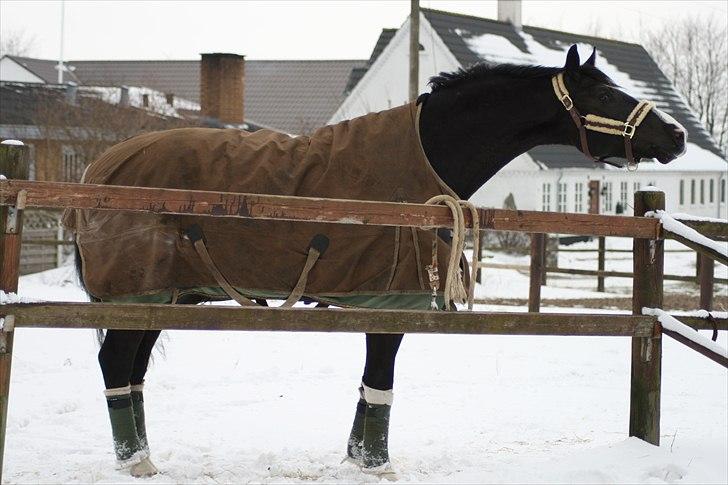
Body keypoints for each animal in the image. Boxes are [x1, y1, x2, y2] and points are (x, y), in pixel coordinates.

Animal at [82, 46, 684, 476]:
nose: (676, 135)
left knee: (130, 374)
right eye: (604, 93)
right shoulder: (393, 300)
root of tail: (99, 167)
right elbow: (380, 381)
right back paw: (136, 463)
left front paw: (355, 458)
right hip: (138, 296)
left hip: (157, 300)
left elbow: (369, 389)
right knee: (116, 365)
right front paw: (376, 465)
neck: (424, 158)